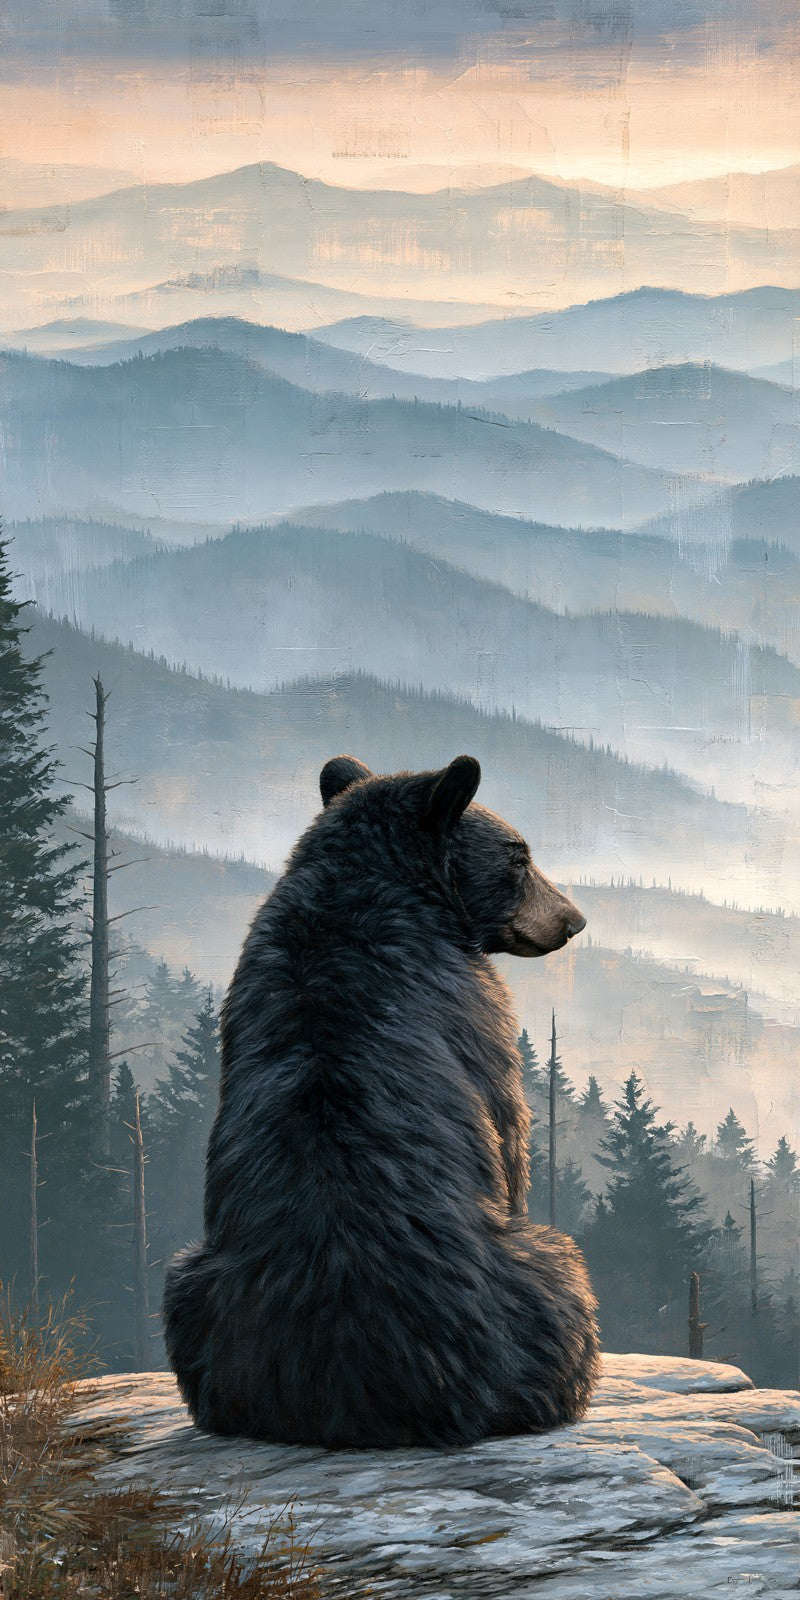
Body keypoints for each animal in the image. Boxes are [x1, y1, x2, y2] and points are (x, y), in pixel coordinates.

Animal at [163, 754, 600, 1448]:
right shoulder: (475, 1005)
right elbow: (508, 1124)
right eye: (519, 857)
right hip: (545, 1282)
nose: (574, 919)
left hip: (193, 1290)